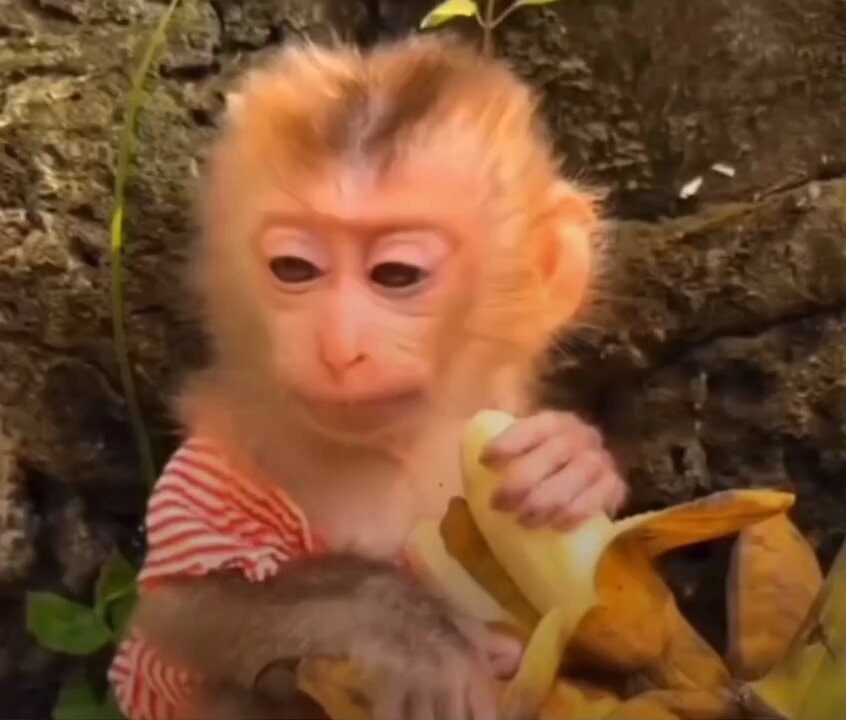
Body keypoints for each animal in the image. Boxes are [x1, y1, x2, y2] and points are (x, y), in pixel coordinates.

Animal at [108, 35, 627, 720]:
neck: (394, 450)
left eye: (396, 275)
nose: (337, 348)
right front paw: (403, 625)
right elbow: (177, 612)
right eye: (294, 268)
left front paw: (570, 462)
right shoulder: (215, 464)